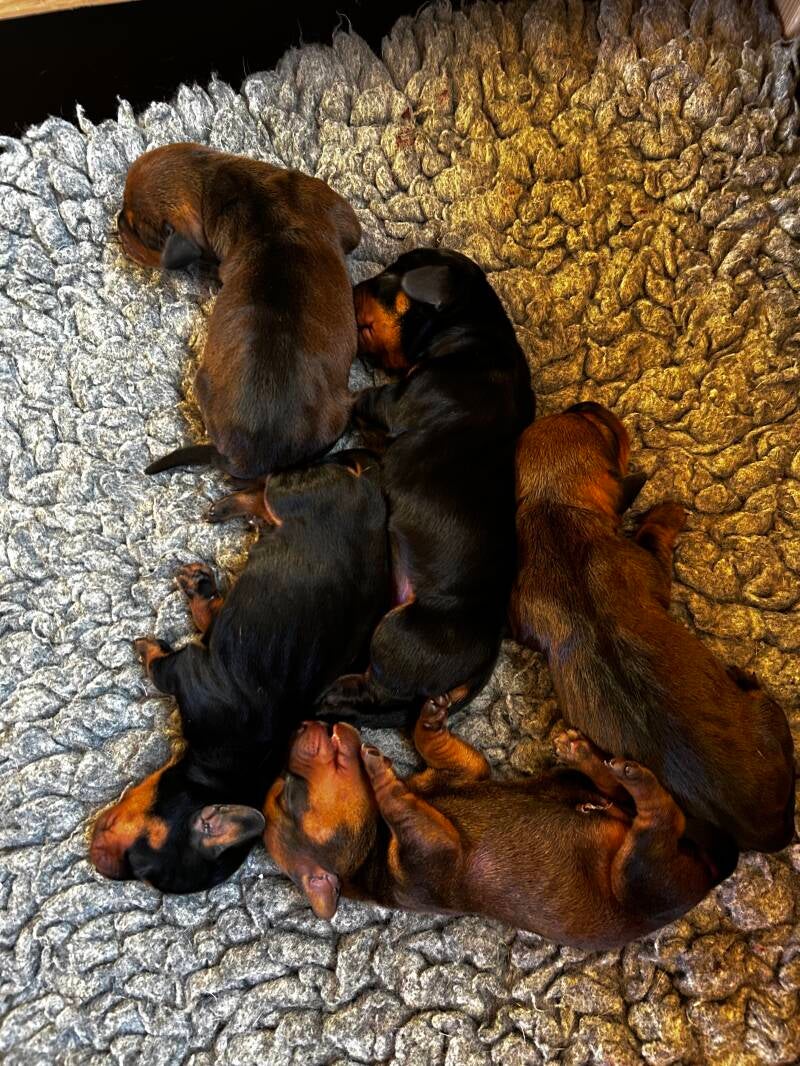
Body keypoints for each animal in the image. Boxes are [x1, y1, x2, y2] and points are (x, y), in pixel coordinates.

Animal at [89, 450, 390, 893]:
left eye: (142, 871)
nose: (97, 865)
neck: (217, 770)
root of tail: (366, 487)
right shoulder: (191, 668)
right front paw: (196, 593)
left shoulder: (186, 666)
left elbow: (164, 661)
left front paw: (156, 637)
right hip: (293, 492)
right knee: (269, 483)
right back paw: (230, 506)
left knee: (267, 493)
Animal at [262, 706, 736, 950]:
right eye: (290, 793)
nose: (299, 724)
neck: (373, 846)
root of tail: (709, 874)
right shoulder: (432, 850)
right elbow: (395, 801)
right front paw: (379, 771)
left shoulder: (460, 772)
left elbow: (436, 748)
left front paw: (428, 719)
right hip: (638, 877)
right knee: (659, 817)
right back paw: (633, 778)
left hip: (572, 788)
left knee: (612, 791)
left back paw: (583, 754)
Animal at [315, 248, 535, 726]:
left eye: (386, 279)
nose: (350, 286)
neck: (470, 329)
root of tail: (483, 663)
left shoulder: (396, 401)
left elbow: (364, 398)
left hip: (398, 633)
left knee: (377, 691)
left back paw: (331, 695)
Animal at [510, 402, 796, 854]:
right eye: (607, 432)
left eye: (584, 417)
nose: (586, 404)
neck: (552, 507)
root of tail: (763, 832)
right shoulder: (651, 566)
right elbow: (654, 539)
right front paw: (665, 513)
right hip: (770, 719)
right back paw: (743, 677)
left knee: (615, 785)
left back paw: (579, 754)